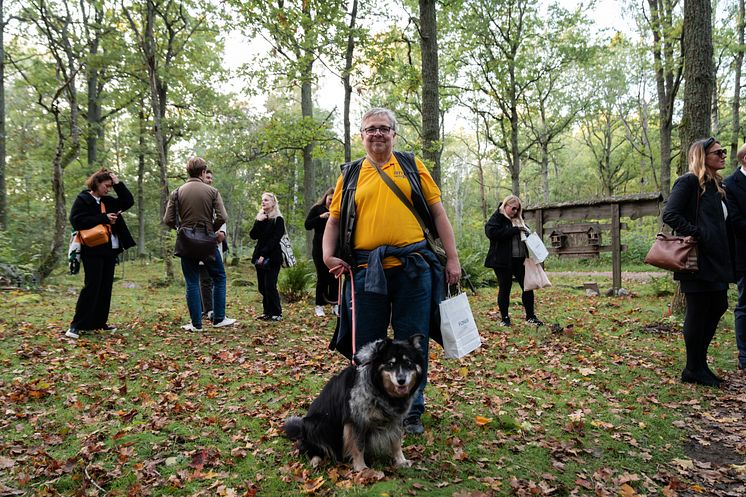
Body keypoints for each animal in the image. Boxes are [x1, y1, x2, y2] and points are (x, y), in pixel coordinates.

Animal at [284, 334, 424, 468]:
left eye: (408, 363)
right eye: (391, 364)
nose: (401, 380)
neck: (380, 390)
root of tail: (300, 432)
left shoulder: (395, 419)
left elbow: (396, 442)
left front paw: (401, 461)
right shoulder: (356, 421)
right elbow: (358, 446)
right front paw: (361, 468)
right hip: (314, 425)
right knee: (310, 448)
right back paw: (316, 459)